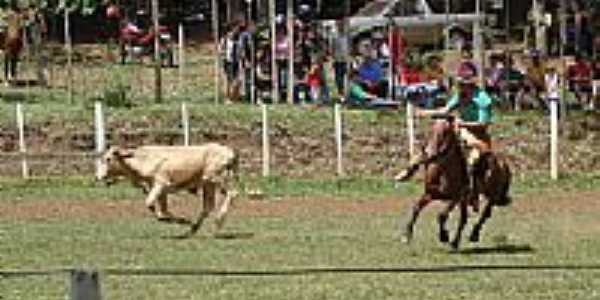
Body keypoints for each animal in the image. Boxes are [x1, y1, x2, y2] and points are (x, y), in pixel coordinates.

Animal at [394, 114, 510, 248]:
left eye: (446, 133)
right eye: (432, 132)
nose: (430, 155)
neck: (443, 172)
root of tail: (503, 163)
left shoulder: (456, 197)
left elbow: (442, 215)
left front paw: (444, 236)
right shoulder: (430, 194)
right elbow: (416, 208)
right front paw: (406, 236)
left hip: (492, 196)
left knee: (485, 214)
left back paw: (473, 235)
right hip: (466, 201)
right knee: (464, 219)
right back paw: (455, 242)